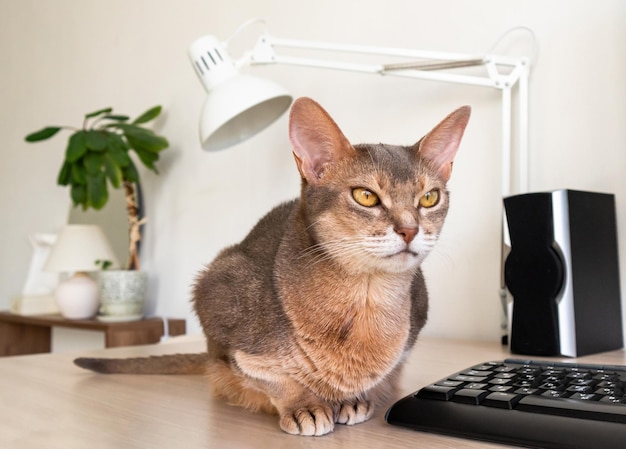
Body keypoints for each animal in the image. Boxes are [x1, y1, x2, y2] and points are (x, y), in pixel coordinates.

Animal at [74, 97, 468, 434]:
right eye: (366, 196)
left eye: (429, 198)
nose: (409, 229)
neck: (364, 299)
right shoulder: (219, 302)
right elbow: (264, 376)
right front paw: (303, 403)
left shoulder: (414, 322)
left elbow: (385, 372)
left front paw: (355, 397)